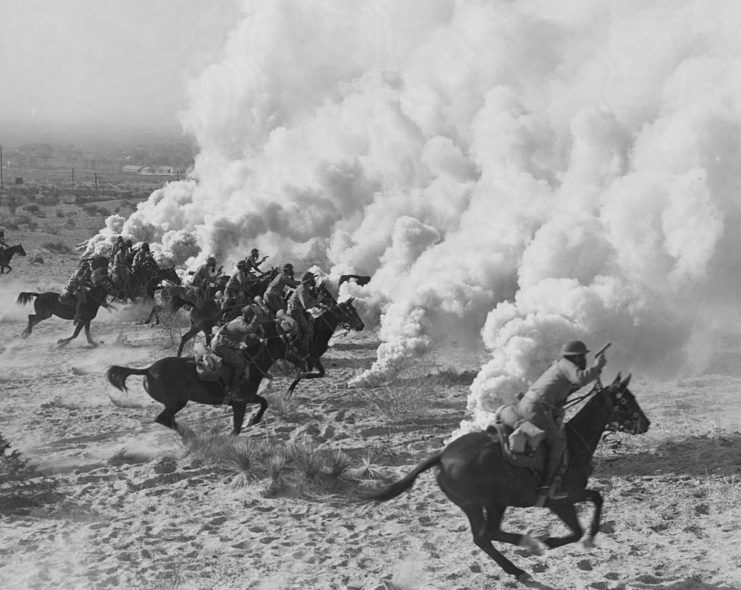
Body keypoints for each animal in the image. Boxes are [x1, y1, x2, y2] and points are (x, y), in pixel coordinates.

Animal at [105, 326, 290, 438]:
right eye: (287, 343)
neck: (250, 363)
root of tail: (148, 369)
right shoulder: (240, 402)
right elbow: (237, 425)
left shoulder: (247, 398)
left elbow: (264, 402)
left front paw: (254, 420)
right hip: (177, 402)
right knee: (162, 418)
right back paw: (190, 435)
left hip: (173, 403)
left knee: (168, 419)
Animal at [368, 374, 652, 584]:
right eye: (627, 401)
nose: (646, 424)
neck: (572, 443)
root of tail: (442, 457)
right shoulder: (560, 502)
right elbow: (575, 531)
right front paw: (549, 542)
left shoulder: (575, 494)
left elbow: (597, 498)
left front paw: (591, 537)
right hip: (491, 504)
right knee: (489, 533)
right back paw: (530, 545)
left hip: (476, 506)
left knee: (482, 538)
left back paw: (516, 568)